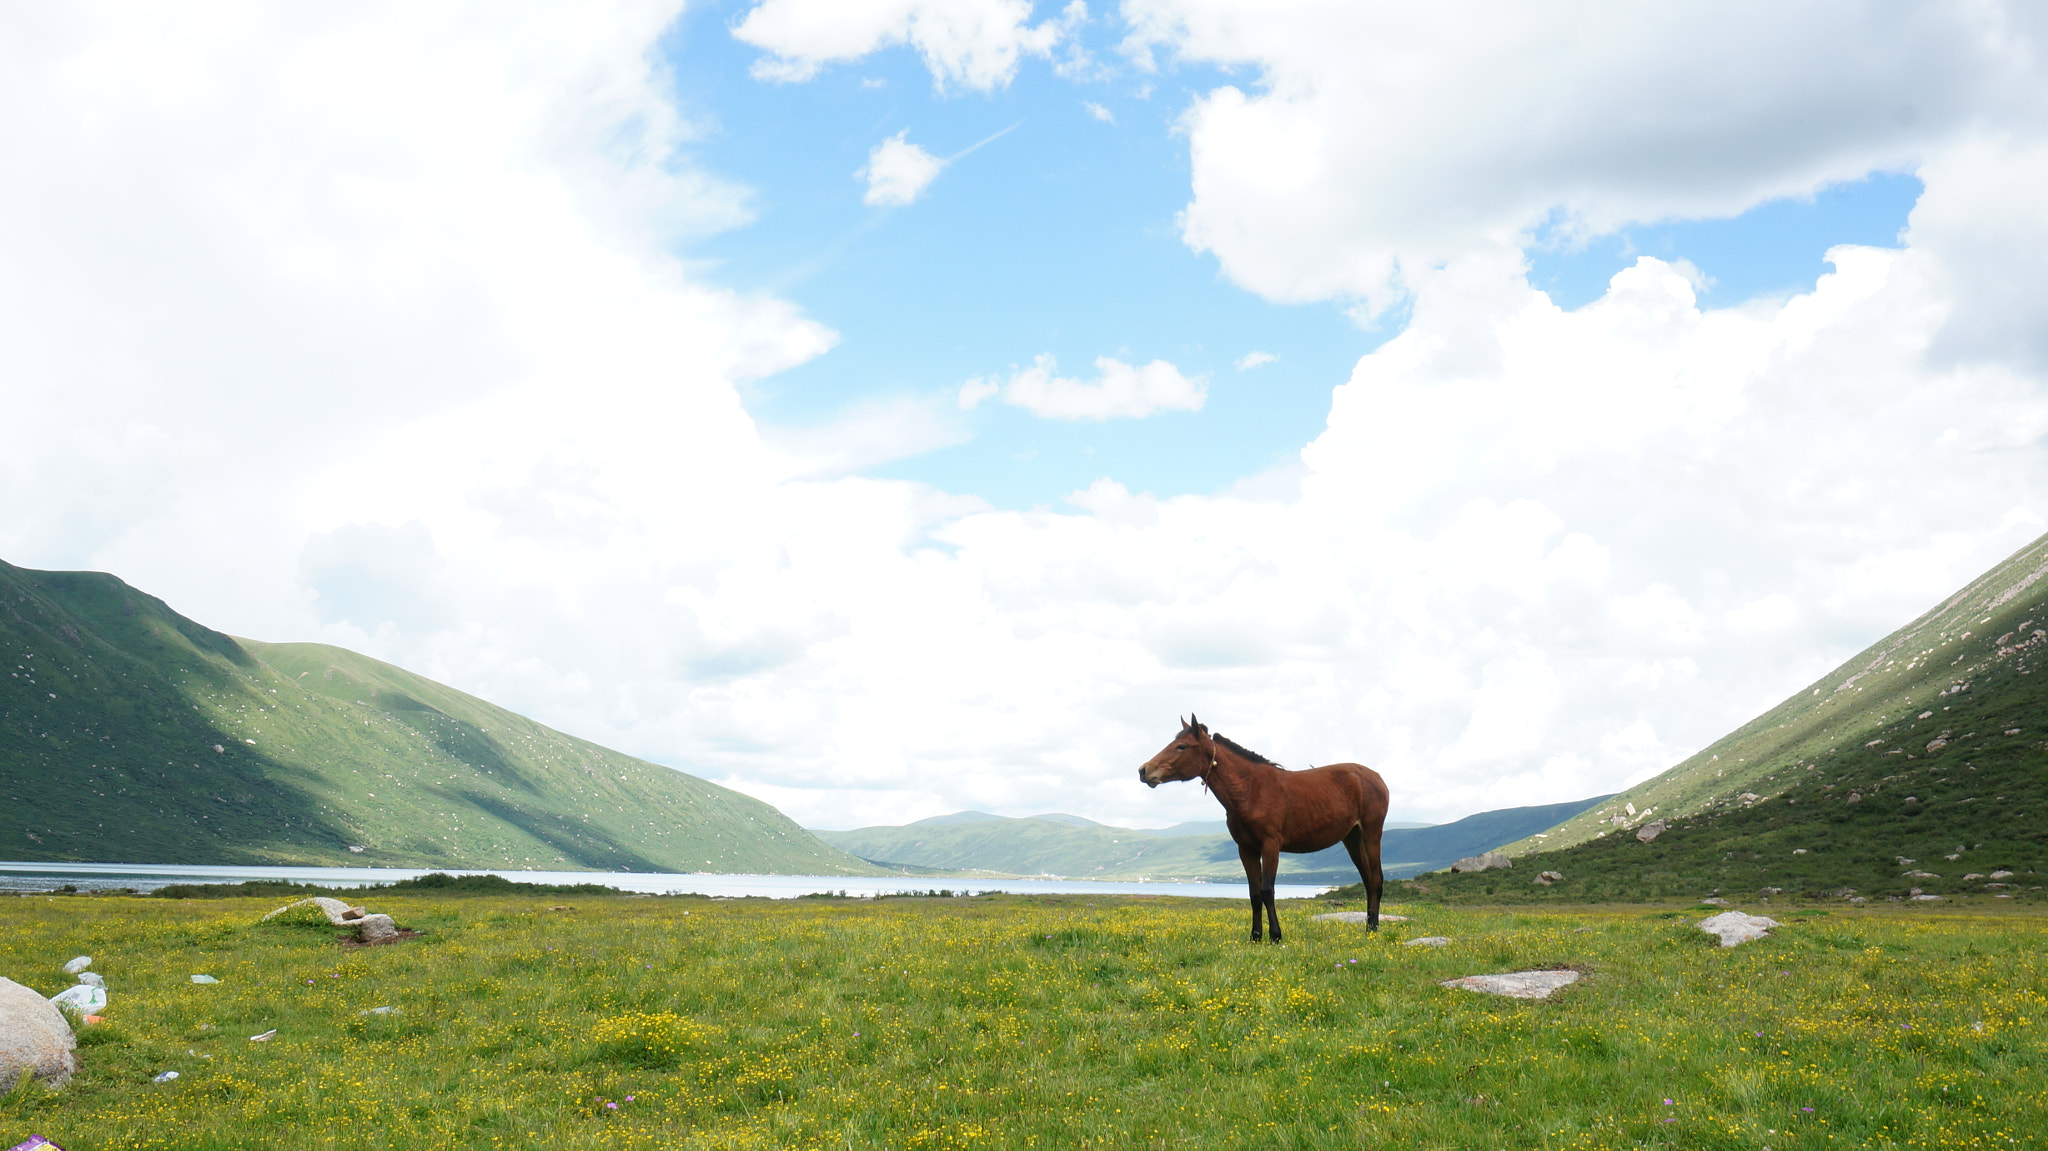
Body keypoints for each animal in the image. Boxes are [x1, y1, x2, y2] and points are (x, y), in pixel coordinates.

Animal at [1138, 708, 1392, 942]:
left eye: (1182, 746)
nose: (1143, 770)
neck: (1251, 790)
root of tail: (1377, 777)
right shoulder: (1246, 849)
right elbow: (1254, 894)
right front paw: (1255, 936)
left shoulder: (1270, 846)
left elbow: (1267, 890)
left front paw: (1275, 935)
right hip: (1352, 838)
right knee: (1367, 879)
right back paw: (1368, 926)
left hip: (1371, 833)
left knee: (1376, 879)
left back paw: (1373, 929)